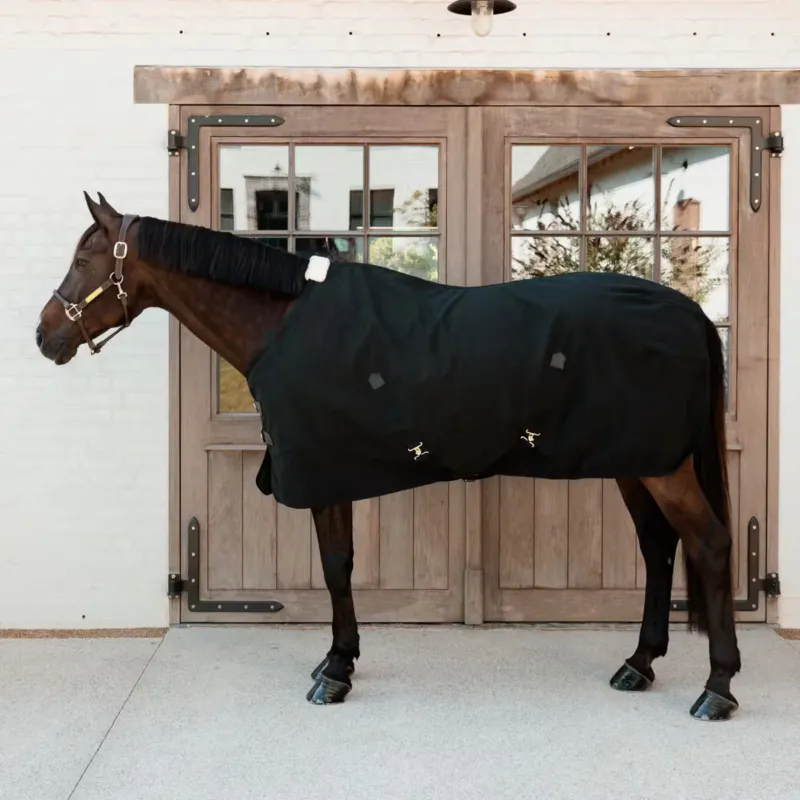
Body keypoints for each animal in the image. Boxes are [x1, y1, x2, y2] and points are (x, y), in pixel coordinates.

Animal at [36, 193, 741, 721]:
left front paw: (334, 673)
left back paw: (717, 689)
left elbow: (335, 568)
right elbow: (342, 565)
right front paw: (338, 660)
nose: (45, 335)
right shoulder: (333, 472)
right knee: (659, 546)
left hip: (662, 467)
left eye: (84, 257)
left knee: (707, 544)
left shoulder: (322, 471)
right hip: (635, 462)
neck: (284, 323)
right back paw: (639, 665)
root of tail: (690, 313)